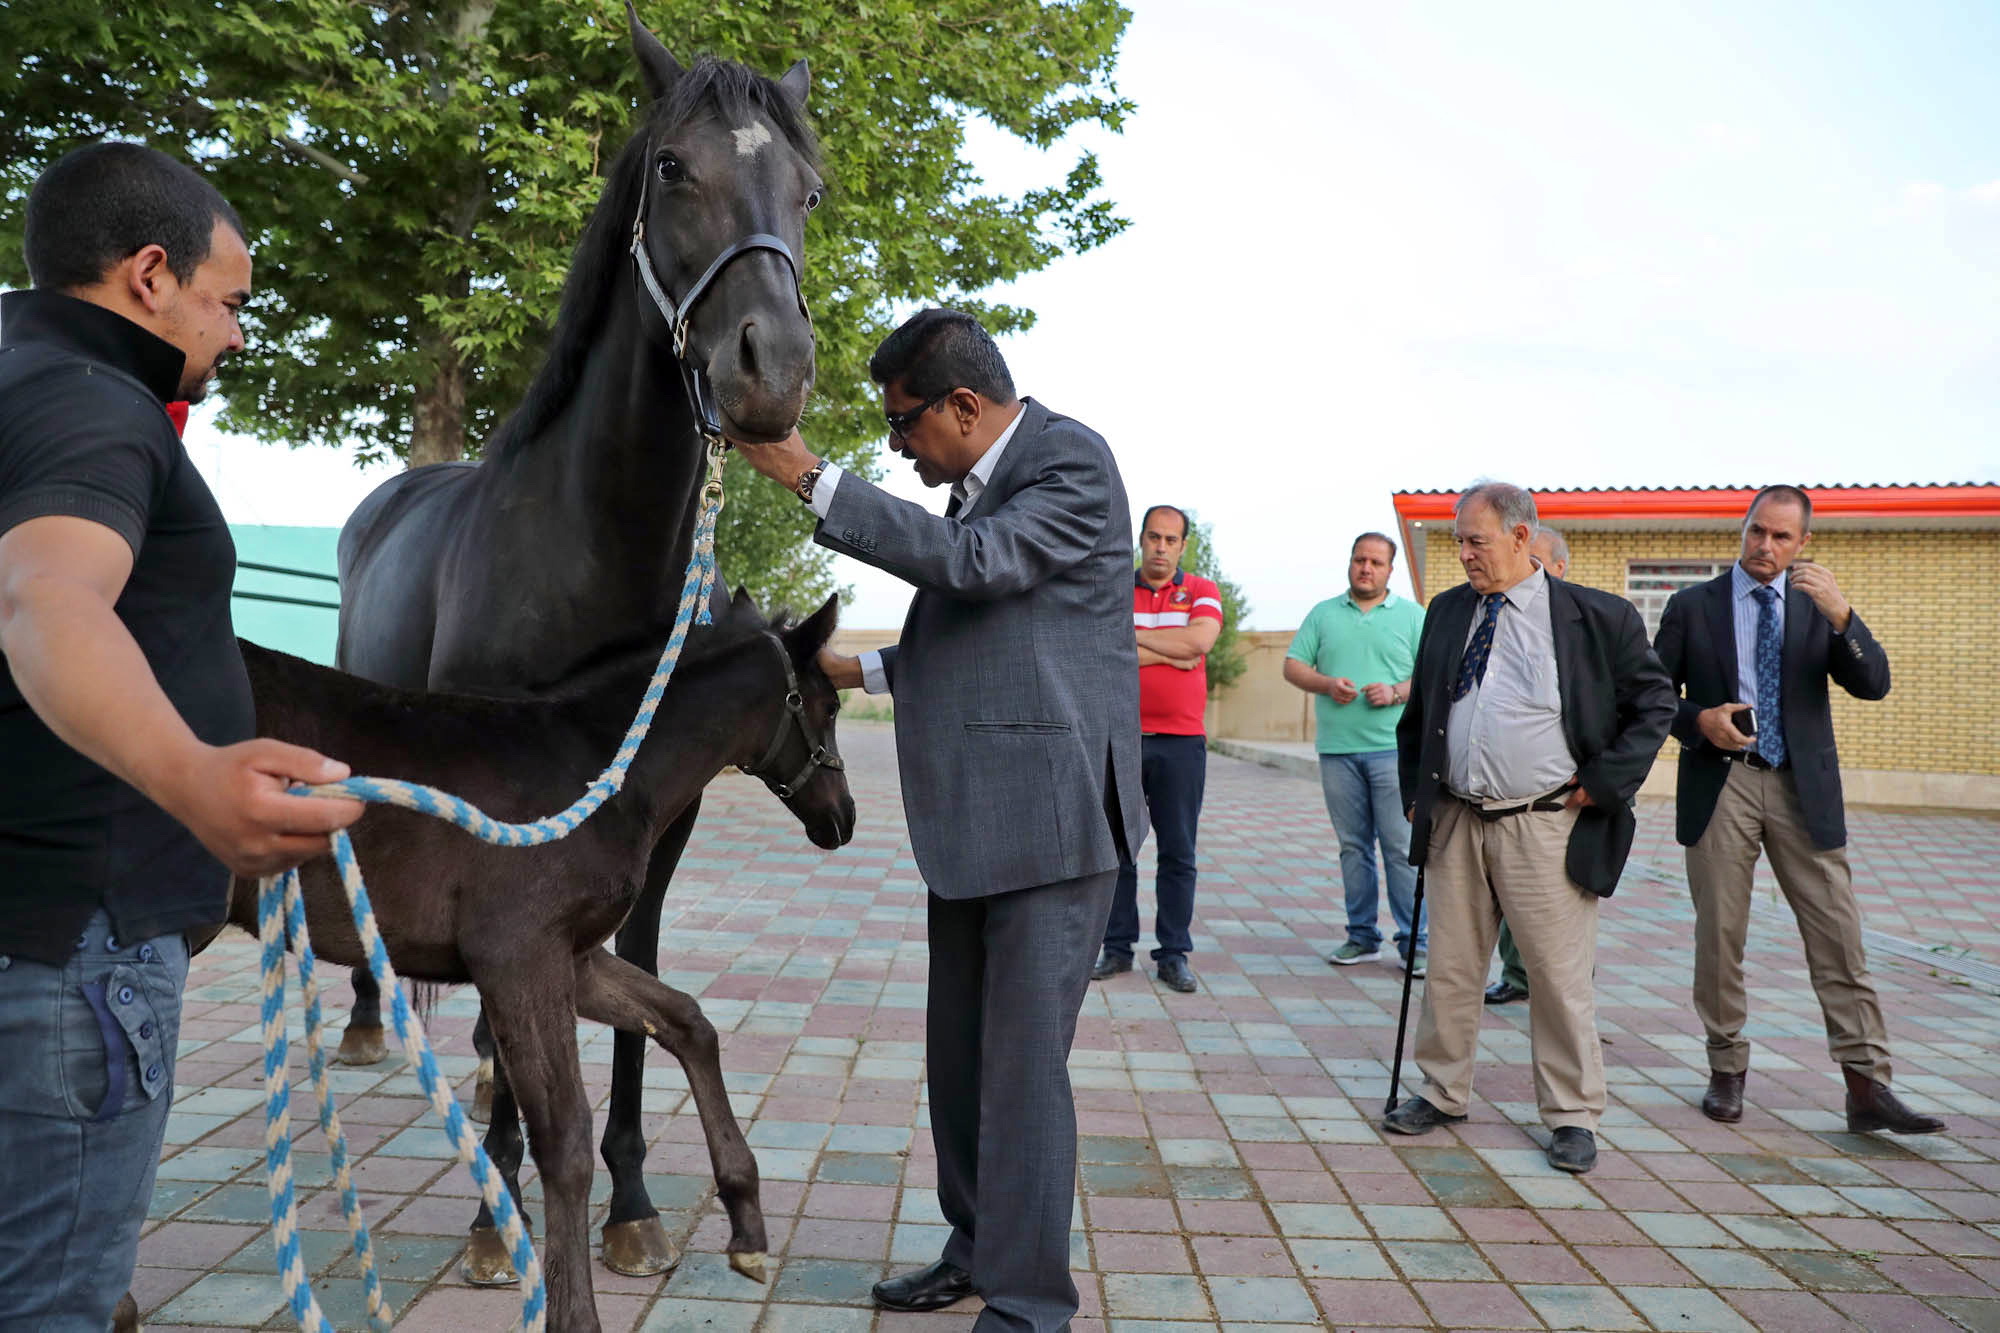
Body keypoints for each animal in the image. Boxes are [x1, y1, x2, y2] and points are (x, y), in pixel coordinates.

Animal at [234, 592, 852, 1328]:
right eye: (829, 705)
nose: (842, 818)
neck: (598, 772)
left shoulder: (573, 957)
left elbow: (687, 1021)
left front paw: (746, 1222)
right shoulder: (519, 954)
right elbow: (565, 1138)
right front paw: (574, 1312)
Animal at [328, 7, 820, 1280]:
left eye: (808, 188)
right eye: (671, 167)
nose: (771, 370)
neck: (587, 547)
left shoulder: (660, 800)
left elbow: (635, 968)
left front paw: (635, 1201)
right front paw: (495, 1208)